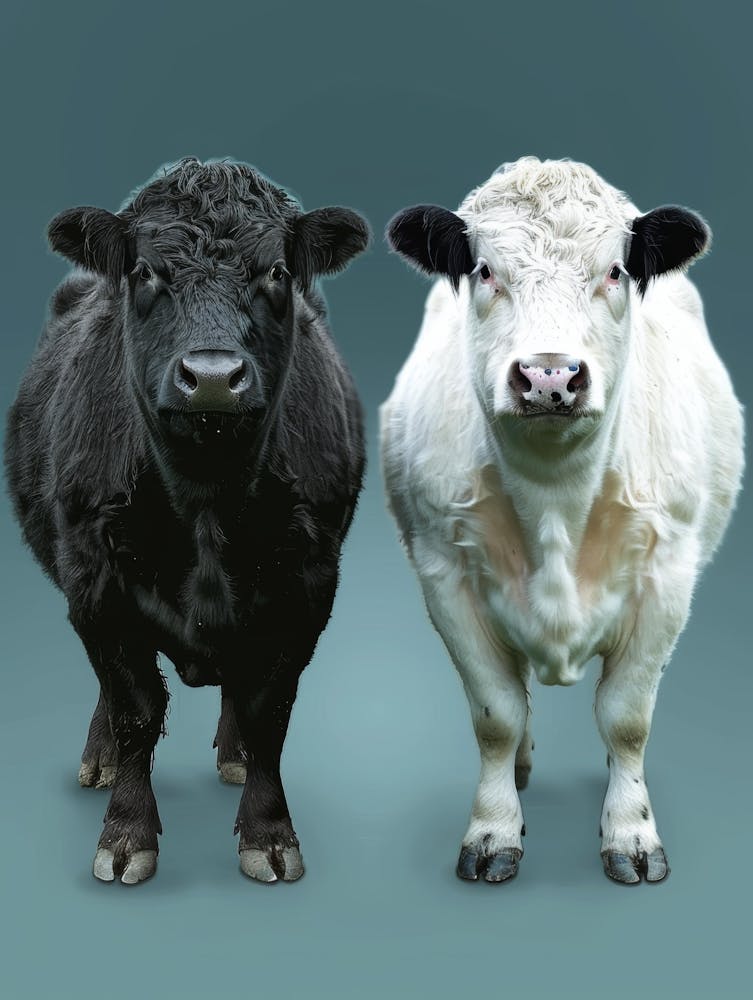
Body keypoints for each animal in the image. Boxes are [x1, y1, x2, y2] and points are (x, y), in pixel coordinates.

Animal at [5, 157, 369, 885]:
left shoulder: (307, 587)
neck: (205, 495)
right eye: (145, 271)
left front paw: (269, 834)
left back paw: (232, 757)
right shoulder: (93, 582)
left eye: (276, 271)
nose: (212, 376)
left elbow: (267, 710)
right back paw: (100, 759)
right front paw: (125, 835)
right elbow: (136, 707)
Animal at [380, 157, 744, 885]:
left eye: (615, 270)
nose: (549, 376)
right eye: (484, 269)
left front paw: (631, 834)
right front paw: (493, 830)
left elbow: (626, 716)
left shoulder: (667, 575)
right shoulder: (443, 571)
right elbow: (495, 713)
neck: (554, 503)